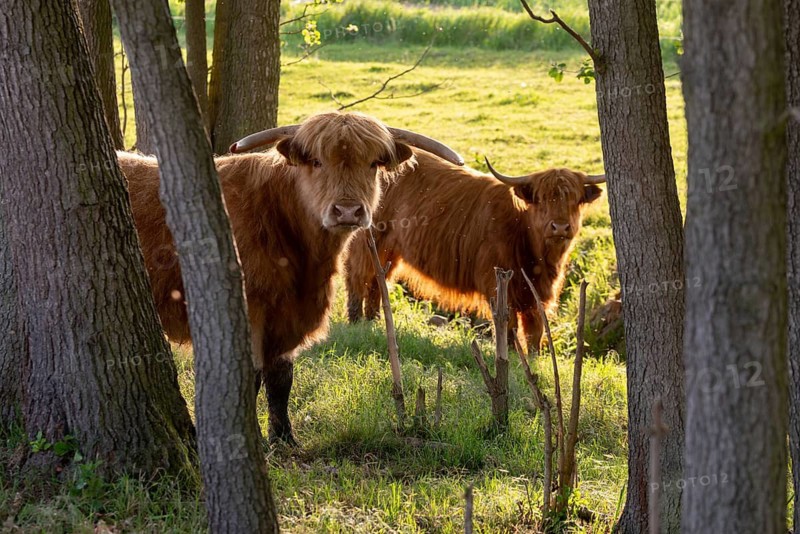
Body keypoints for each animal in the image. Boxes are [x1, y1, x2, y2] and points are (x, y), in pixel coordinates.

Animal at [118, 111, 463, 445]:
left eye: (373, 163)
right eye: (318, 162)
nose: (347, 211)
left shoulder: (289, 315)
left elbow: (281, 378)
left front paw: (284, 438)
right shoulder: (251, 308)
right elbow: (252, 377)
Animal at [344, 150, 605, 355]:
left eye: (575, 199)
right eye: (541, 198)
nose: (559, 227)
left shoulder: (537, 294)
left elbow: (535, 331)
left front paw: (533, 359)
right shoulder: (498, 284)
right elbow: (508, 325)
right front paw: (510, 356)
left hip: (389, 250)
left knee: (378, 281)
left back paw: (373, 322)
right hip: (368, 241)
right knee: (357, 276)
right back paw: (355, 322)